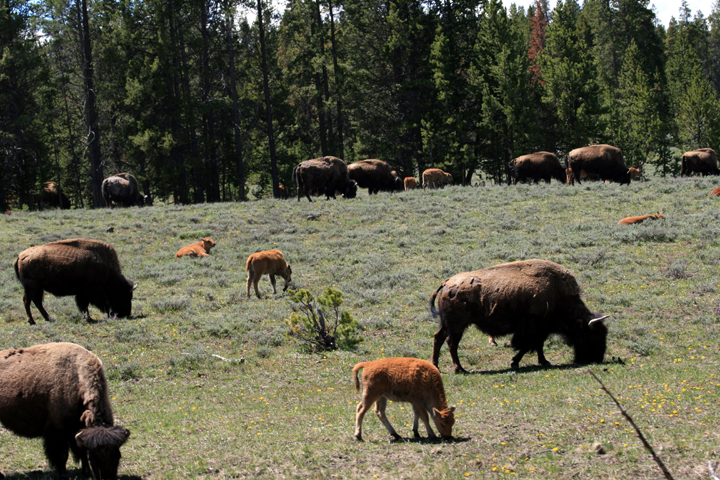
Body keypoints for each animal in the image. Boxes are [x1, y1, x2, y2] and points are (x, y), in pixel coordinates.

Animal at [0, 342, 130, 479]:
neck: (77, 376)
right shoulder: (58, 430)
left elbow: (81, 451)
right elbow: (62, 454)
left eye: (118, 456)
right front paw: (63, 474)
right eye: (94, 457)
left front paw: (86, 471)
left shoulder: (78, 430)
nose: (108, 477)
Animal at [429, 259, 608, 373]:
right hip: (457, 326)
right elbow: (528, 346)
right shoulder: (533, 329)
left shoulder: (540, 330)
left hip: (446, 324)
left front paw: (543, 361)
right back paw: (460, 369)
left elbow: (538, 345)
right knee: (451, 343)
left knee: (438, 338)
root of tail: (446, 283)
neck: (559, 295)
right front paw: (515, 362)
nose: (597, 358)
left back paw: (436, 366)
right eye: (593, 335)